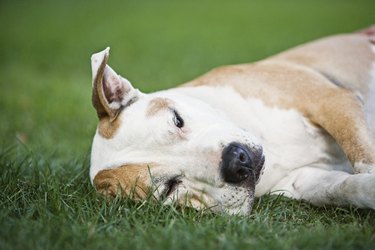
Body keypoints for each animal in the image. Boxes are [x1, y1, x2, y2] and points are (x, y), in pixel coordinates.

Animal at [89, 26, 375, 215]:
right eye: (169, 188)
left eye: (177, 120)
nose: (238, 161)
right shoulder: (306, 180)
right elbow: (350, 187)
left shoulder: (330, 101)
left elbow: (364, 158)